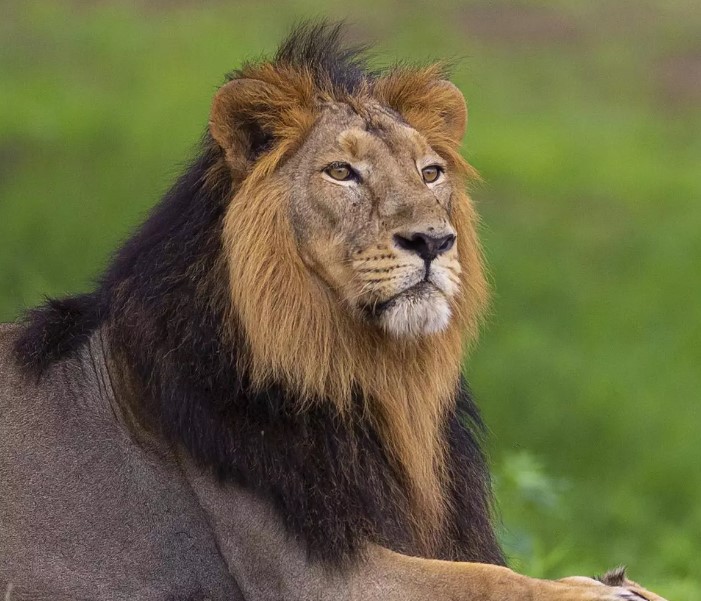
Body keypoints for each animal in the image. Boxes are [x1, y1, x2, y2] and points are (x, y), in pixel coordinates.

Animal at [0, 22, 666, 601]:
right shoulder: (306, 574)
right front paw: (601, 593)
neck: (369, 375)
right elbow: (485, 578)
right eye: (342, 172)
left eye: (431, 172)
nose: (433, 240)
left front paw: (619, 582)